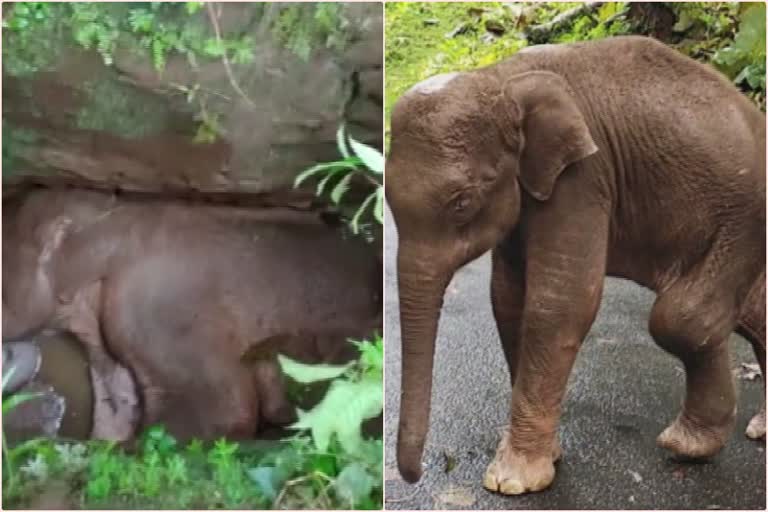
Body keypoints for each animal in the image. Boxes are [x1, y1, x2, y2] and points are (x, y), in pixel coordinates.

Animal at [388, 35, 764, 492]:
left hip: (743, 218)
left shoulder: (583, 178)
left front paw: (513, 481)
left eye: (462, 203)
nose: (417, 474)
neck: (501, 78)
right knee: (748, 312)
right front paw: (542, 458)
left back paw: (688, 446)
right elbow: (508, 300)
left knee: (683, 318)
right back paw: (757, 430)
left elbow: (559, 302)